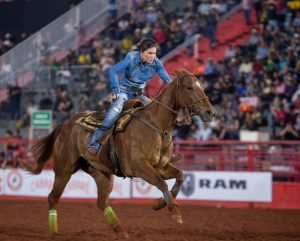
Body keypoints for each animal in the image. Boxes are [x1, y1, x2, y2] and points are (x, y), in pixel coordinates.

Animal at [21, 68, 216, 238]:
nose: (210, 112)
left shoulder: (160, 166)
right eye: (189, 87)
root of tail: (66, 125)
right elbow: (162, 184)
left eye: (202, 86)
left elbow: (180, 176)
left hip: (102, 173)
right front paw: (174, 213)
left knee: (102, 202)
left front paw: (159, 204)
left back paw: (121, 231)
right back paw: (54, 232)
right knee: (53, 197)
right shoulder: (140, 167)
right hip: (64, 169)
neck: (156, 127)